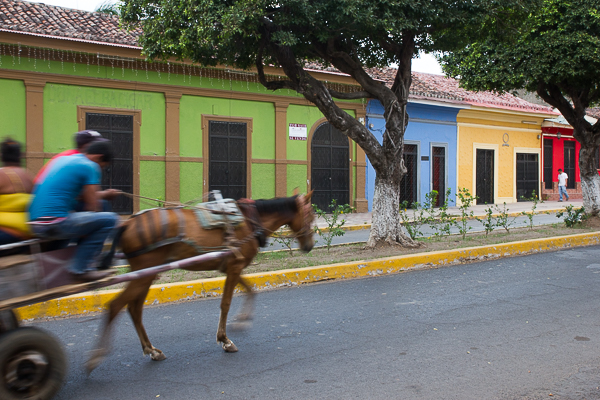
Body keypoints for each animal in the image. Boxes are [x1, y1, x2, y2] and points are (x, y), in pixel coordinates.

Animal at [87, 192, 318, 374]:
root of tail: (127, 223)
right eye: (310, 215)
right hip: (144, 274)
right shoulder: (234, 267)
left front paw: (242, 321)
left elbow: (251, 291)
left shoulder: (233, 266)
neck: (250, 220)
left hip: (145, 274)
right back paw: (96, 357)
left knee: (134, 309)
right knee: (116, 306)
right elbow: (226, 303)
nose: (309, 245)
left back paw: (151, 350)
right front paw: (225, 340)